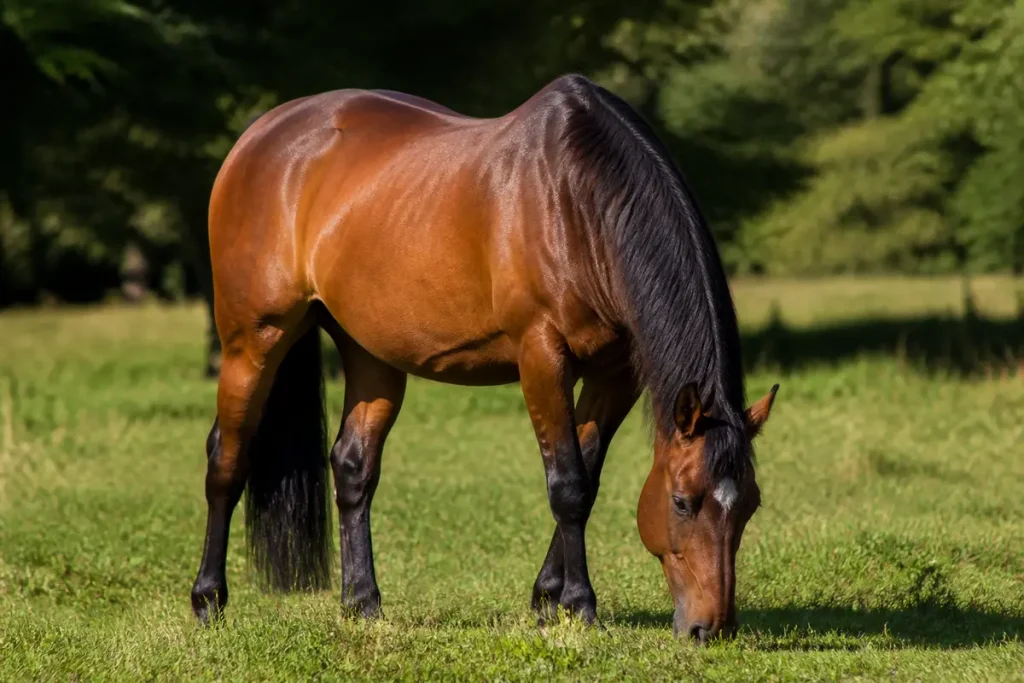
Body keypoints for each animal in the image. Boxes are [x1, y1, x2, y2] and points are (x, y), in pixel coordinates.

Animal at [189, 73, 779, 643]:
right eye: (681, 501)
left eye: (750, 505)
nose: (711, 629)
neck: (576, 202)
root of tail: (259, 136)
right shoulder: (541, 356)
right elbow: (568, 484)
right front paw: (579, 605)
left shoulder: (616, 373)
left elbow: (588, 475)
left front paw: (547, 598)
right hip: (252, 341)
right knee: (228, 459)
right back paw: (208, 599)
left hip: (371, 353)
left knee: (353, 466)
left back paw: (362, 604)